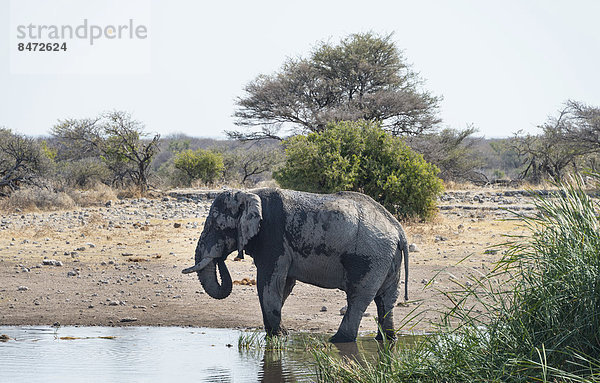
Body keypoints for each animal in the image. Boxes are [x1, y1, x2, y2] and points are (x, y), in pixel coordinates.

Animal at [182, 188, 408, 344]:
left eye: (217, 227)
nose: (220, 257)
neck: (248, 193)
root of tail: (398, 229)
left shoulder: (272, 238)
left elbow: (269, 283)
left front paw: (277, 335)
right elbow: (285, 285)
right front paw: (278, 334)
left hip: (369, 258)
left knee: (358, 298)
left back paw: (339, 340)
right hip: (388, 258)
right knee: (386, 299)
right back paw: (386, 339)